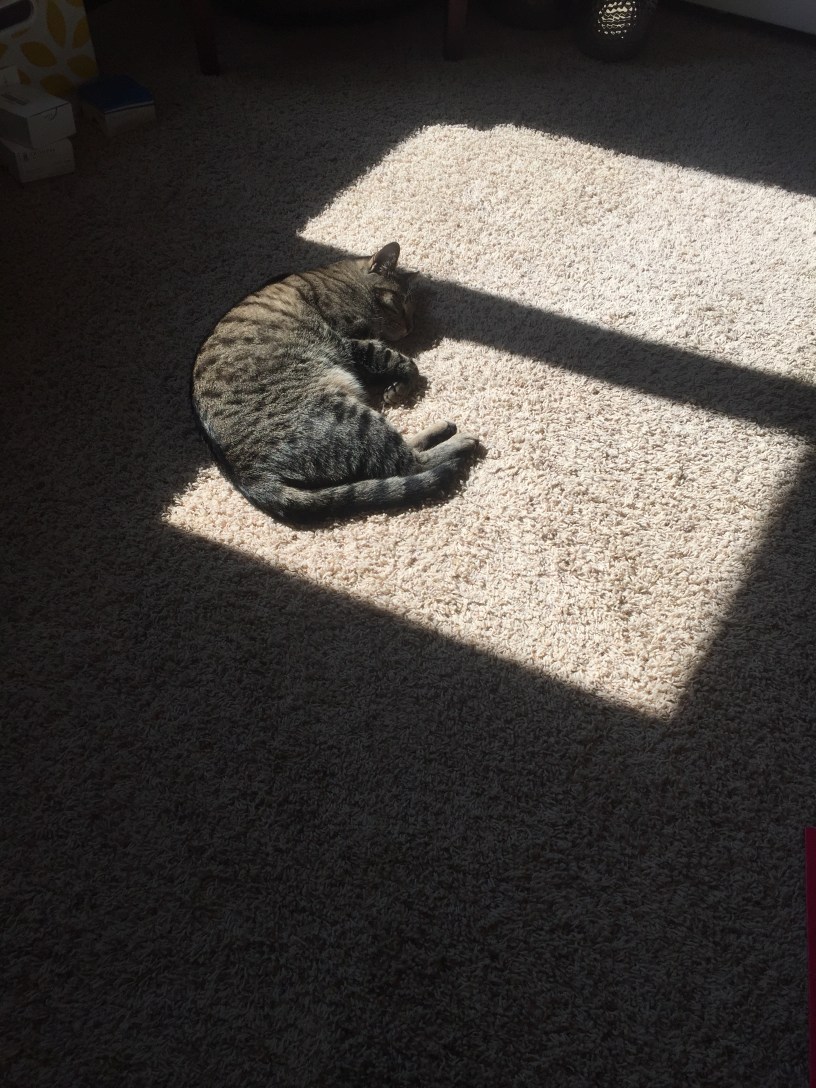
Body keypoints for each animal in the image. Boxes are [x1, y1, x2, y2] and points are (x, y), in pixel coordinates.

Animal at [191, 242, 478, 524]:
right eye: (398, 305)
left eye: (414, 312)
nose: (410, 329)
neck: (344, 281)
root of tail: (250, 477)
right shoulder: (349, 340)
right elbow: (401, 361)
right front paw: (404, 383)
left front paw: (395, 389)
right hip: (348, 415)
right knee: (411, 464)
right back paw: (462, 440)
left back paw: (443, 428)